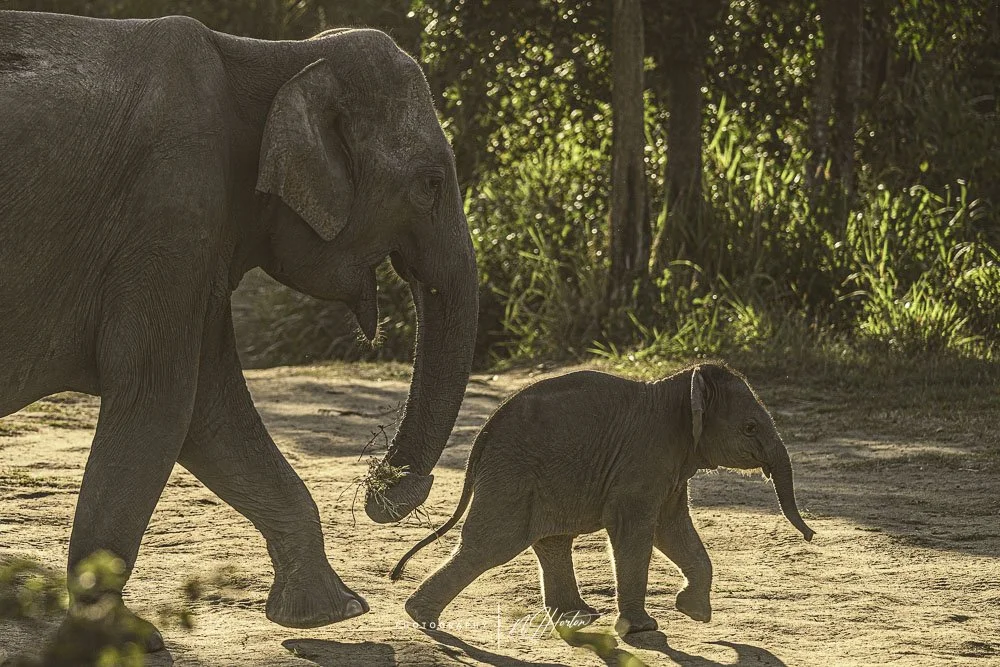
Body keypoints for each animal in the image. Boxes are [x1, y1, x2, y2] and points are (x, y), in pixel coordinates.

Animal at [0, 11, 477, 651]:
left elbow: (211, 410)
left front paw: (331, 614)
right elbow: (163, 401)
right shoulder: (174, 208)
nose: (384, 484)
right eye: (430, 183)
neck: (271, 56)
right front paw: (125, 642)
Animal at [390, 364, 815, 636]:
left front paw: (694, 613)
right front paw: (642, 630)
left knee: (549, 540)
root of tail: (484, 433)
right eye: (750, 427)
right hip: (512, 471)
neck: (679, 387)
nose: (811, 536)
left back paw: (577, 617)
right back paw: (421, 617)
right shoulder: (644, 460)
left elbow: (672, 529)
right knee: (491, 544)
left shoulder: (670, 466)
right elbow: (637, 532)